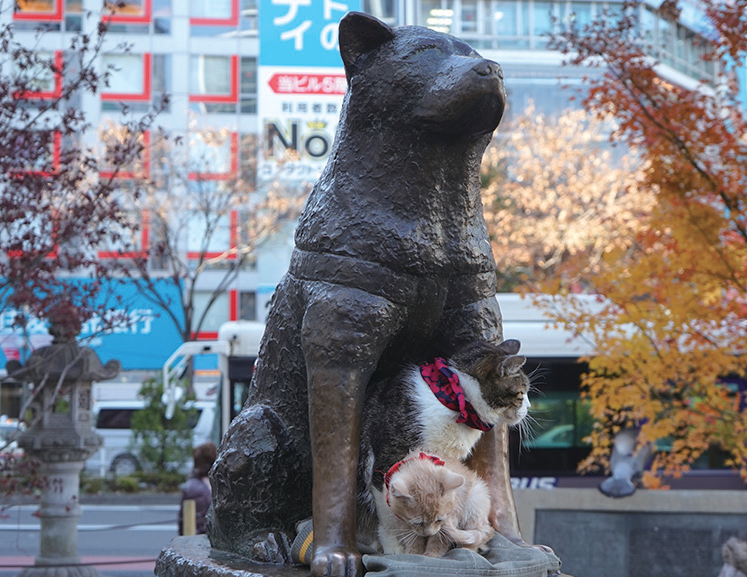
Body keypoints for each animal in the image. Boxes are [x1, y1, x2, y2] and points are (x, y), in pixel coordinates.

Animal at [358, 338, 528, 544]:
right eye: (522, 393)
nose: (528, 407)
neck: (454, 401)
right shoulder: (386, 463)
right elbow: (390, 520)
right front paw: (395, 547)